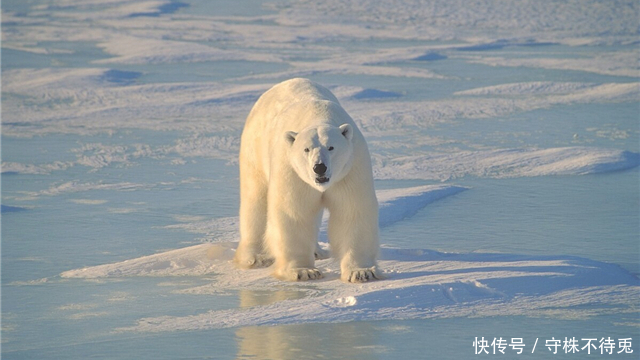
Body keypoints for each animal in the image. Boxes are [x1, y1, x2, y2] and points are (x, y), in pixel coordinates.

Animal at [238, 77, 382, 282]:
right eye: (306, 149)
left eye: (331, 147)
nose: (319, 167)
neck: (317, 115)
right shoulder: (291, 169)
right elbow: (293, 212)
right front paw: (303, 271)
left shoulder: (351, 168)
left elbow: (352, 210)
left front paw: (361, 271)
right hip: (254, 148)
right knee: (255, 199)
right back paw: (256, 257)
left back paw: (317, 251)